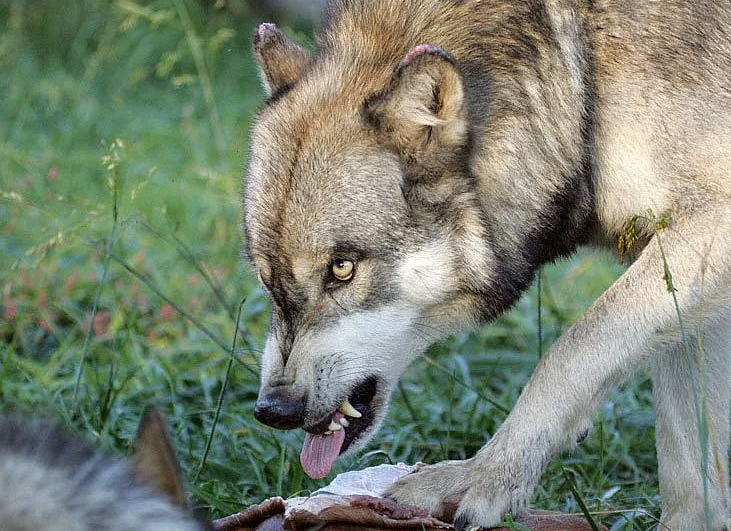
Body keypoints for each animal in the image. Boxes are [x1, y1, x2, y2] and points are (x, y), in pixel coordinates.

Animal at [244, 2, 731, 528]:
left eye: (342, 269)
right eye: (266, 279)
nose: (274, 409)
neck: (580, 72)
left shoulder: (707, 226)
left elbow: (568, 353)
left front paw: (481, 477)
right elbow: (689, 460)